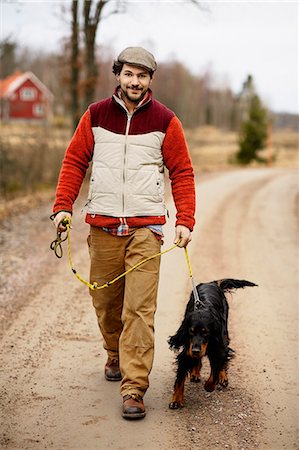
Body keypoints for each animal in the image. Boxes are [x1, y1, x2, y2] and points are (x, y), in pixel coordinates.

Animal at [169, 278, 258, 408]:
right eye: (191, 331)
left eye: (206, 332)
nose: (195, 350)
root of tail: (212, 282)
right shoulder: (188, 351)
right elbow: (180, 379)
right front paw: (176, 400)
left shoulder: (217, 347)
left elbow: (215, 372)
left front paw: (209, 386)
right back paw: (195, 373)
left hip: (224, 334)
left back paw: (223, 378)